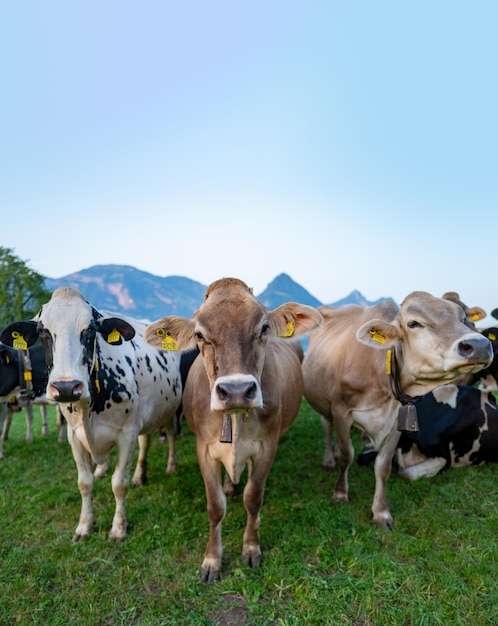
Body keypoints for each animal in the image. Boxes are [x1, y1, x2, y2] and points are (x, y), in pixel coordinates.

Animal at [0, 286, 182, 536]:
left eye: (91, 330)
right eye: (43, 331)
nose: (66, 387)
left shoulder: (127, 433)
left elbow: (119, 483)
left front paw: (118, 528)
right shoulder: (74, 436)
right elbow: (84, 483)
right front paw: (85, 525)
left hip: (170, 409)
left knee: (171, 435)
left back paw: (171, 466)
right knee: (145, 442)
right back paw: (138, 475)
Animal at [144, 278, 322, 580]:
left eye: (263, 328)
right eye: (200, 335)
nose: (237, 391)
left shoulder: (266, 447)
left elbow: (253, 498)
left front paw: (251, 548)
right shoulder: (204, 450)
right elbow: (215, 507)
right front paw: (212, 560)